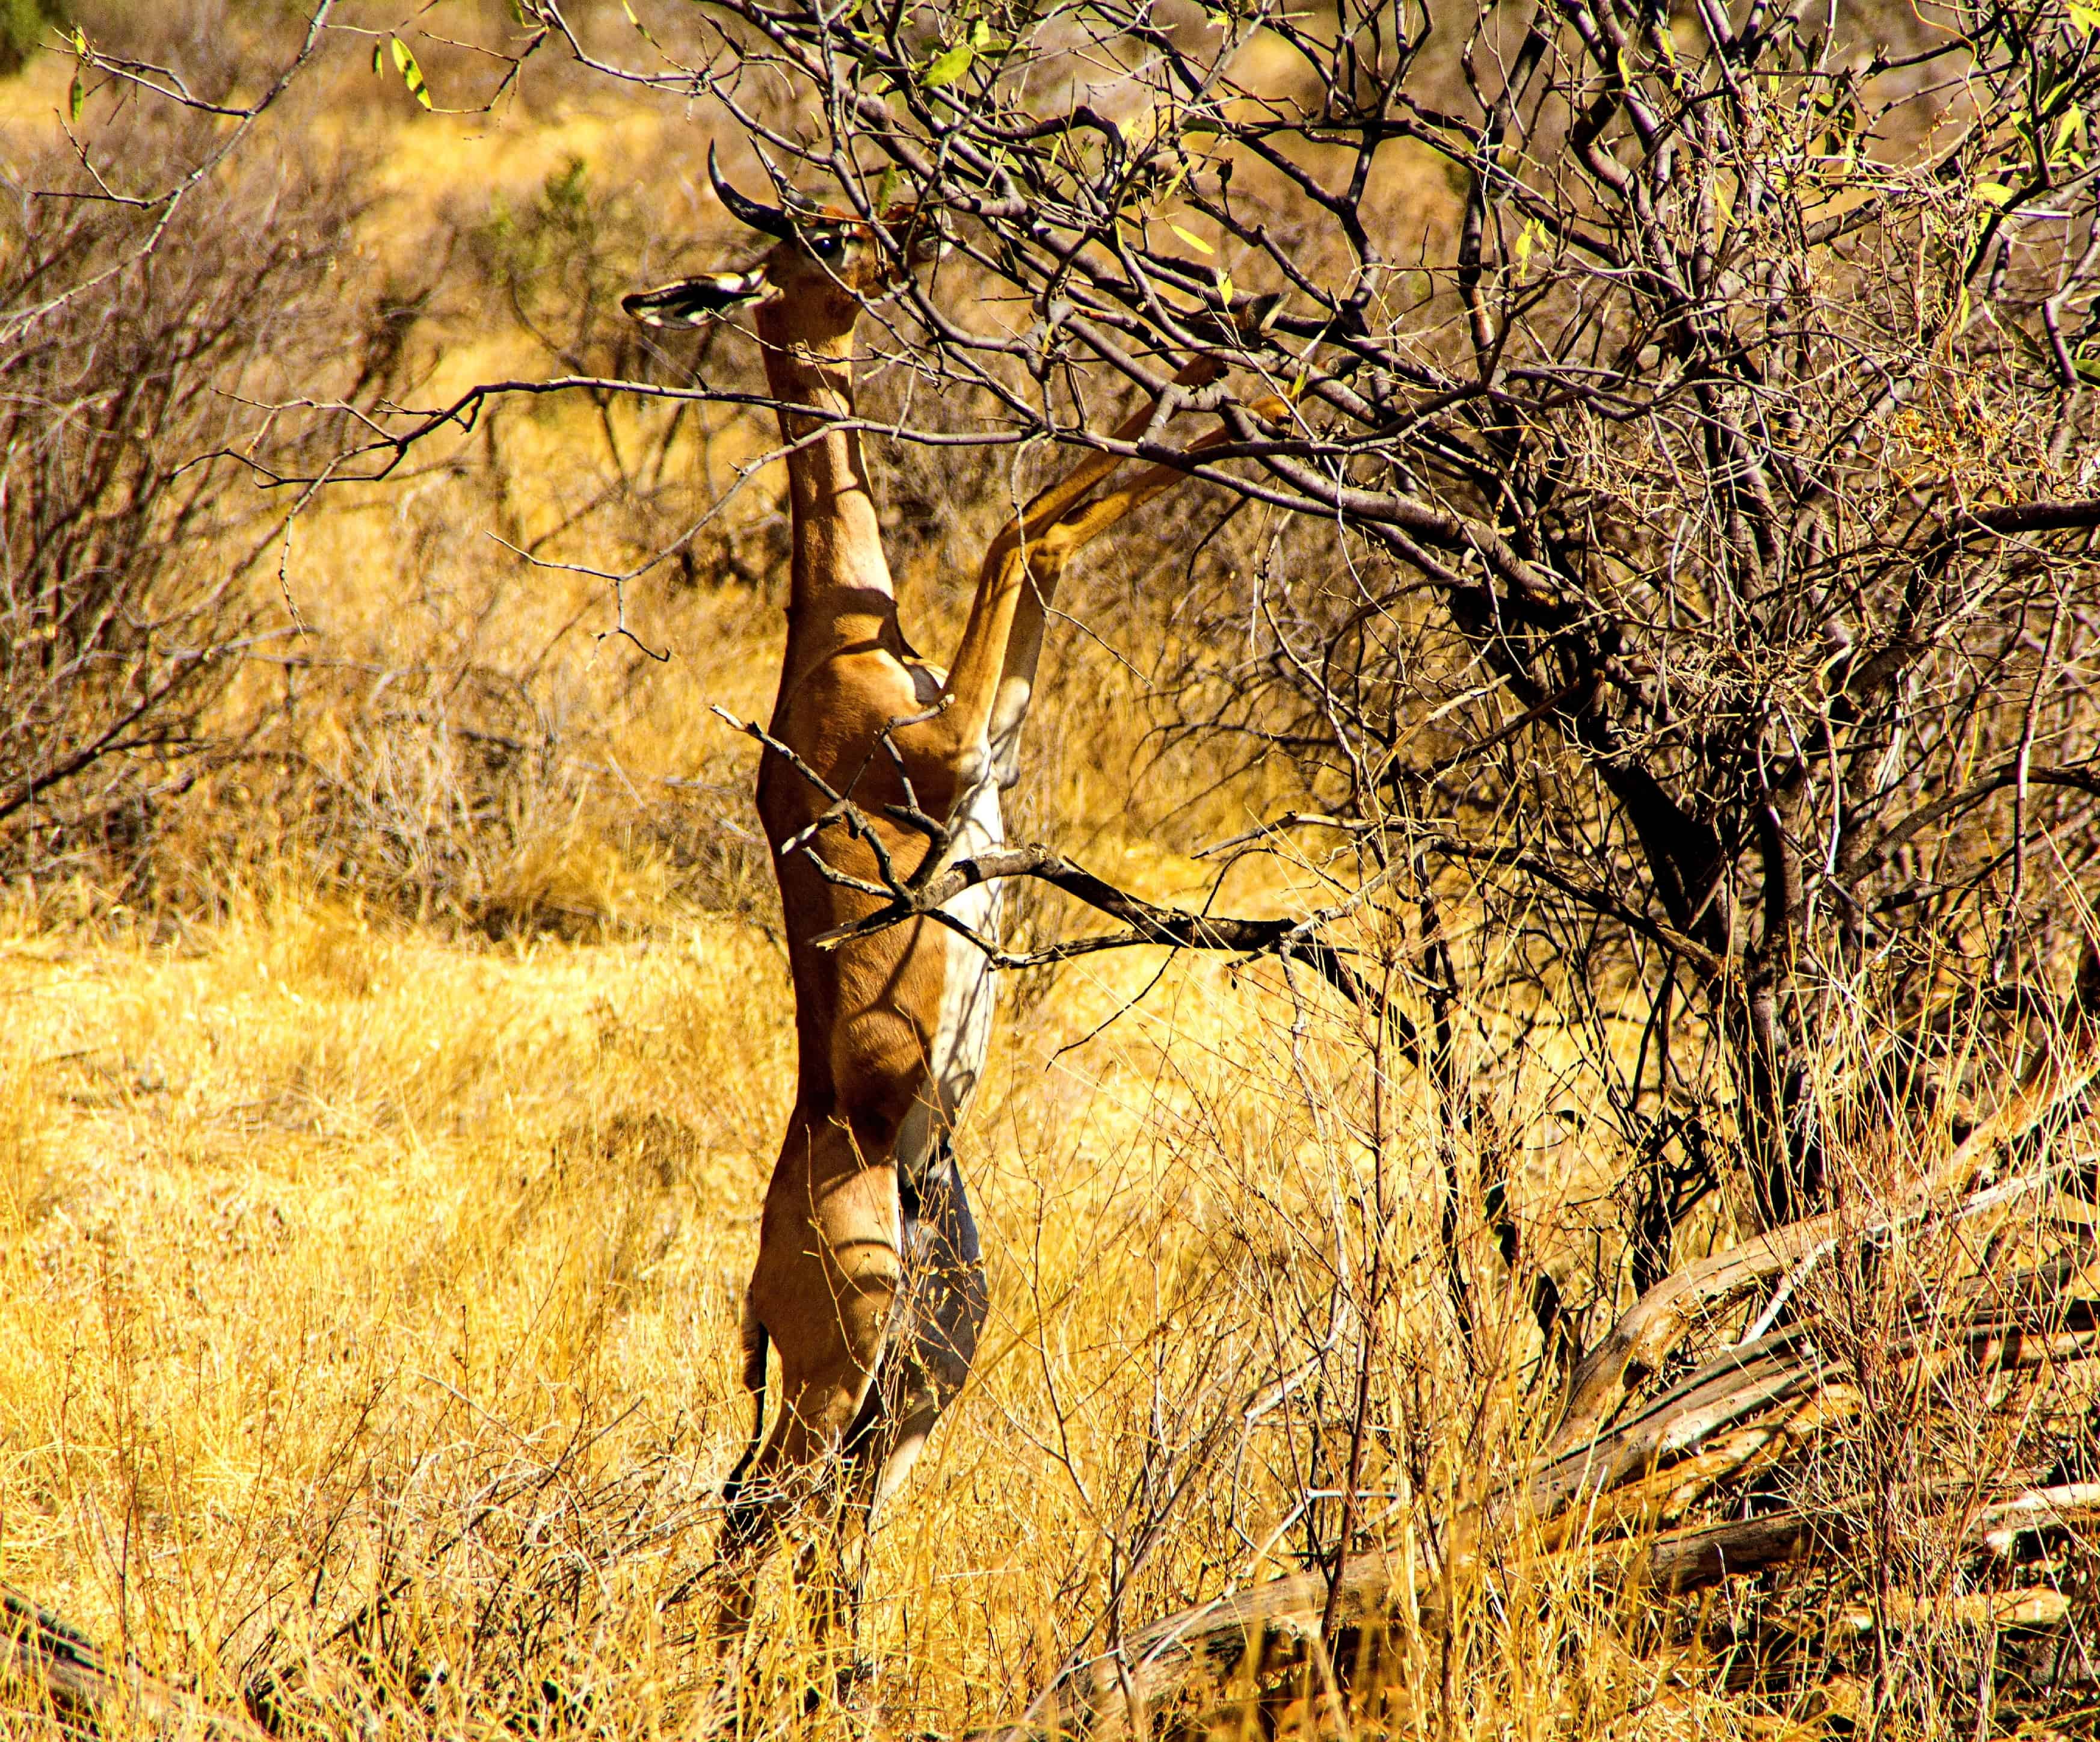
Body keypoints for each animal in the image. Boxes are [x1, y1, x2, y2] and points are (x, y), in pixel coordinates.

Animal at [625, 148, 1264, 1696]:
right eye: (812, 237)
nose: (910, 222)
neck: (836, 645)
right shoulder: (957, 746)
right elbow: (1019, 527)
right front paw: (1231, 383)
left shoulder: (998, 738)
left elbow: (1044, 530)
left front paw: (1224, 367)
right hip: (835, 1381)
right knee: (749, 1526)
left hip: (909, 1391)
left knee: (816, 1536)